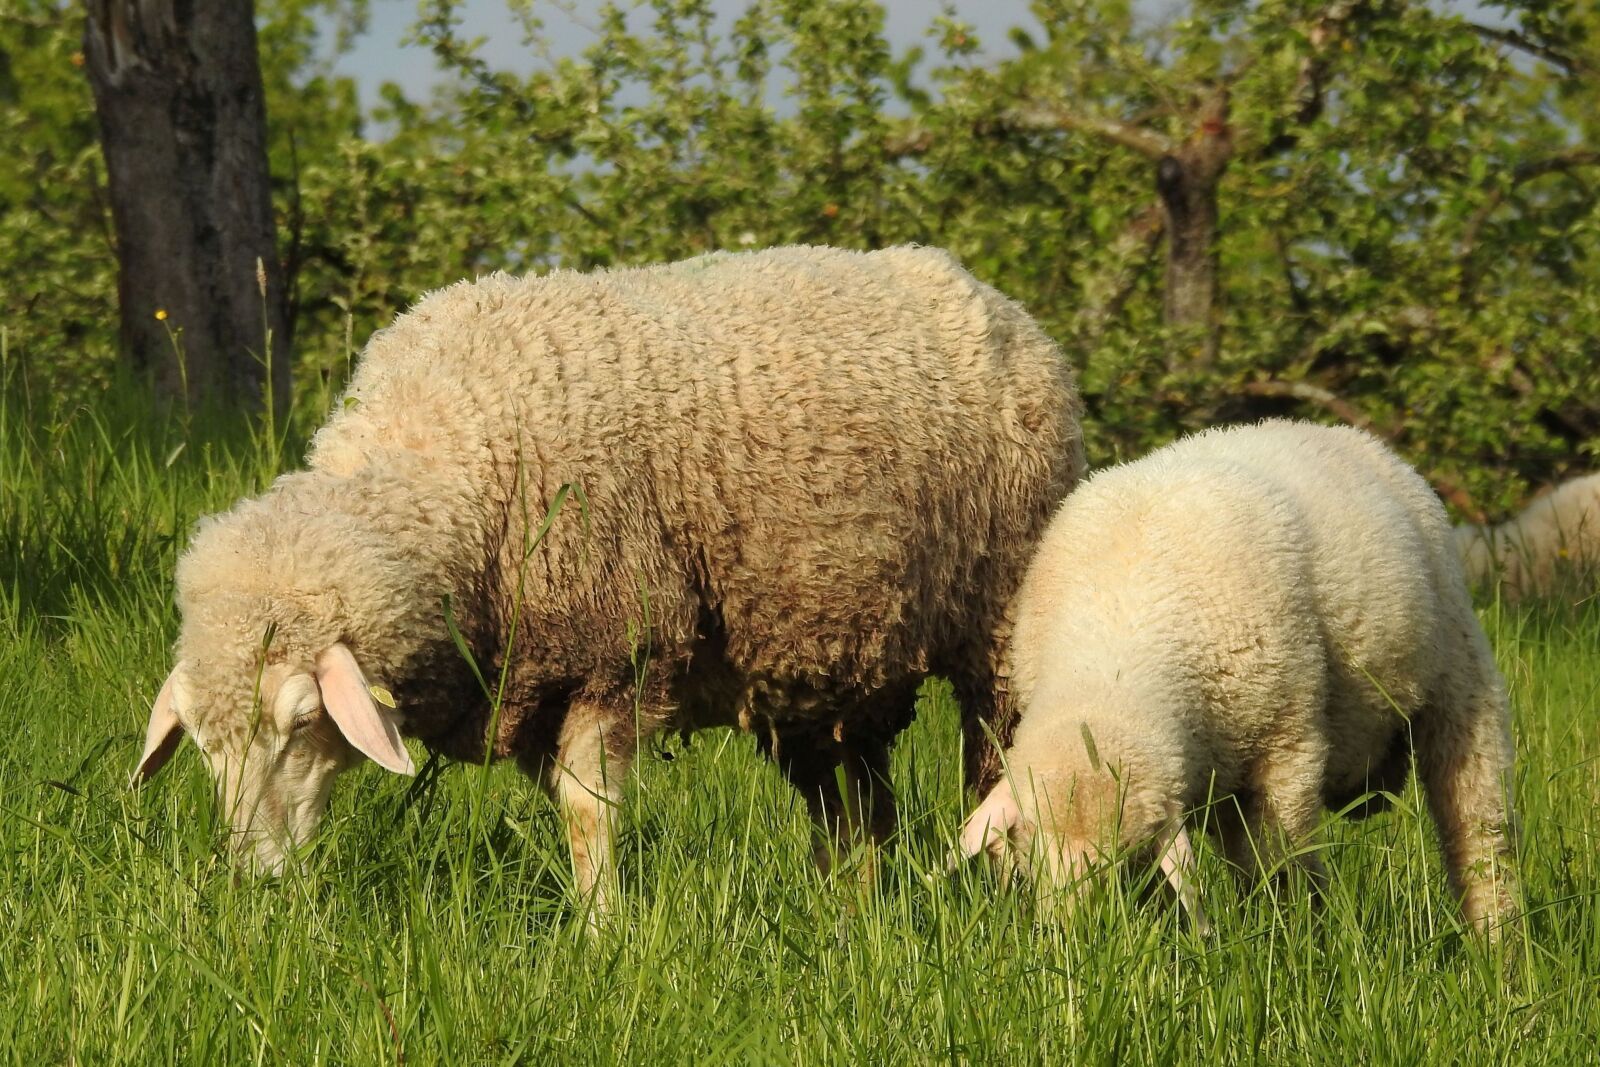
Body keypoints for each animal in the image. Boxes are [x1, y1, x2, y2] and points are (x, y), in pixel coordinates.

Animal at [134, 244, 1084, 911]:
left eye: (302, 721)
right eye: (203, 743)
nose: (254, 876)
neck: (442, 464)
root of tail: (986, 294)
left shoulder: (615, 649)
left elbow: (590, 814)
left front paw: (604, 932)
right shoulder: (533, 680)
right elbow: (566, 805)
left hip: (997, 617)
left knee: (992, 760)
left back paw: (998, 891)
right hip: (827, 655)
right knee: (855, 803)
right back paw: (854, 908)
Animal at [955, 420, 1518, 936]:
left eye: (1130, 857)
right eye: (1029, 843)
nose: (1073, 937)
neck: (1112, 660)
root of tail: (1344, 433)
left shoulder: (1289, 746)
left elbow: (1283, 860)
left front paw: (1293, 937)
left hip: (1461, 682)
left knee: (1481, 836)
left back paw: (1498, 946)